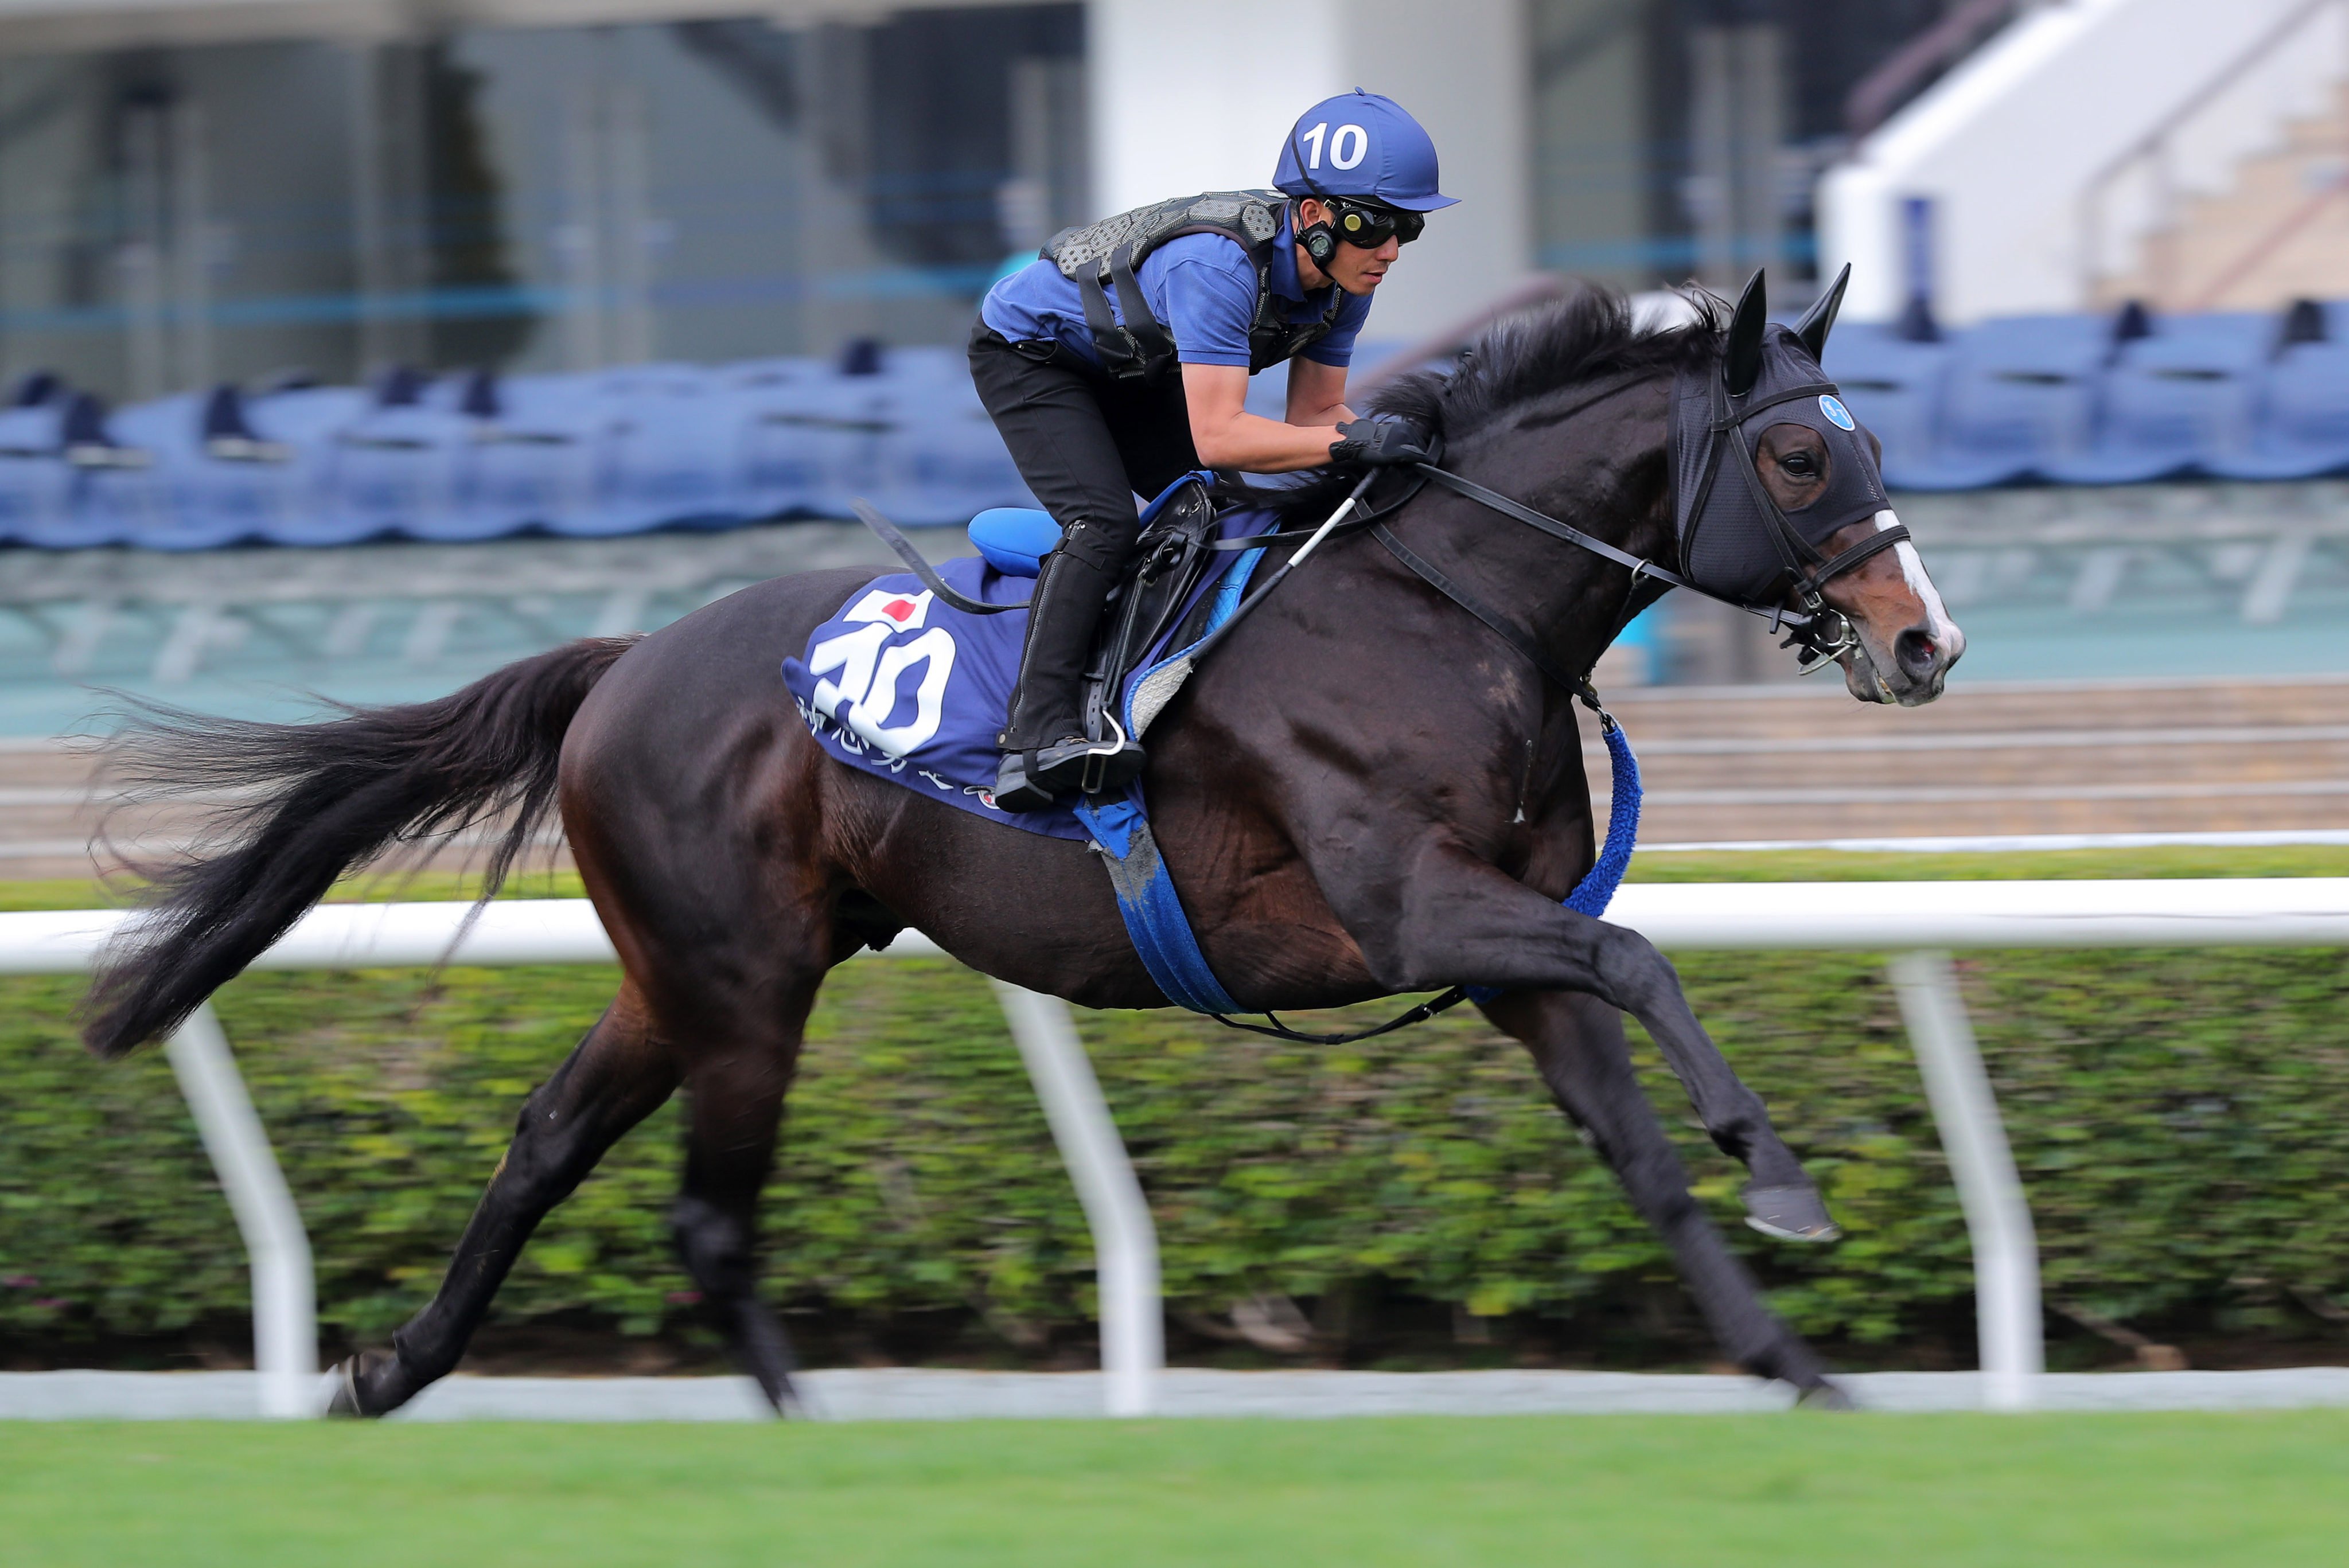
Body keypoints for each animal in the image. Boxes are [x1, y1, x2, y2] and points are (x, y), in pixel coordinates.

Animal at [83, 282, 1964, 1418]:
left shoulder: (1507, 943)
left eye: (1869, 437)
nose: (1927, 641)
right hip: (740, 980)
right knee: (706, 1213)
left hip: (688, 966)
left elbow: (1634, 1134)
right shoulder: (1420, 912)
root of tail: (627, 661)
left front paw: (1793, 1356)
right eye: (1806, 450)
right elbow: (1642, 956)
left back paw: (397, 1365)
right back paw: (799, 1428)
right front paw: (1784, 1176)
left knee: (548, 1137)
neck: (1447, 606)